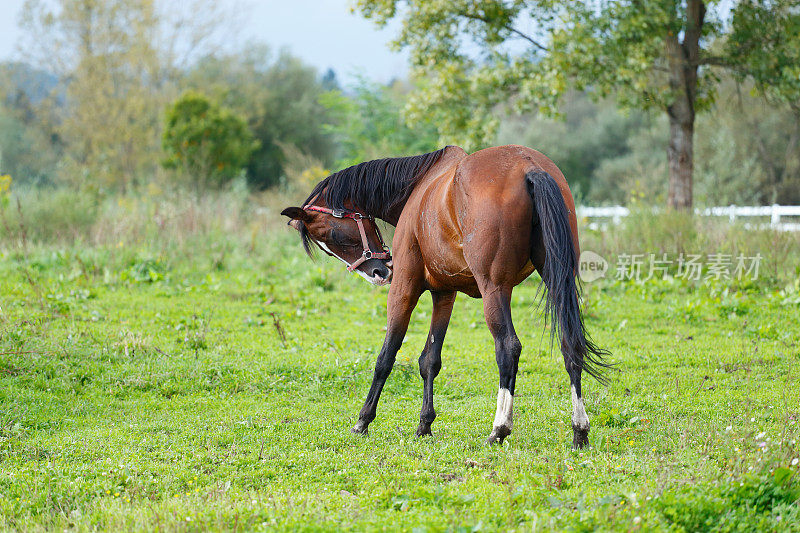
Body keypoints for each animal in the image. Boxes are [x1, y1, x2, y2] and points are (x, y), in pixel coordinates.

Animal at [282, 143, 612, 446]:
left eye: (333, 235)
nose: (378, 273)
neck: (418, 186)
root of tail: (528, 166)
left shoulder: (404, 287)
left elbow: (386, 356)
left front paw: (363, 420)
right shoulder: (444, 293)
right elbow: (430, 359)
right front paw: (424, 424)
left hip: (494, 289)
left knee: (508, 347)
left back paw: (500, 428)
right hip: (558, 280)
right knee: (571, 343)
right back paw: (579, 429)